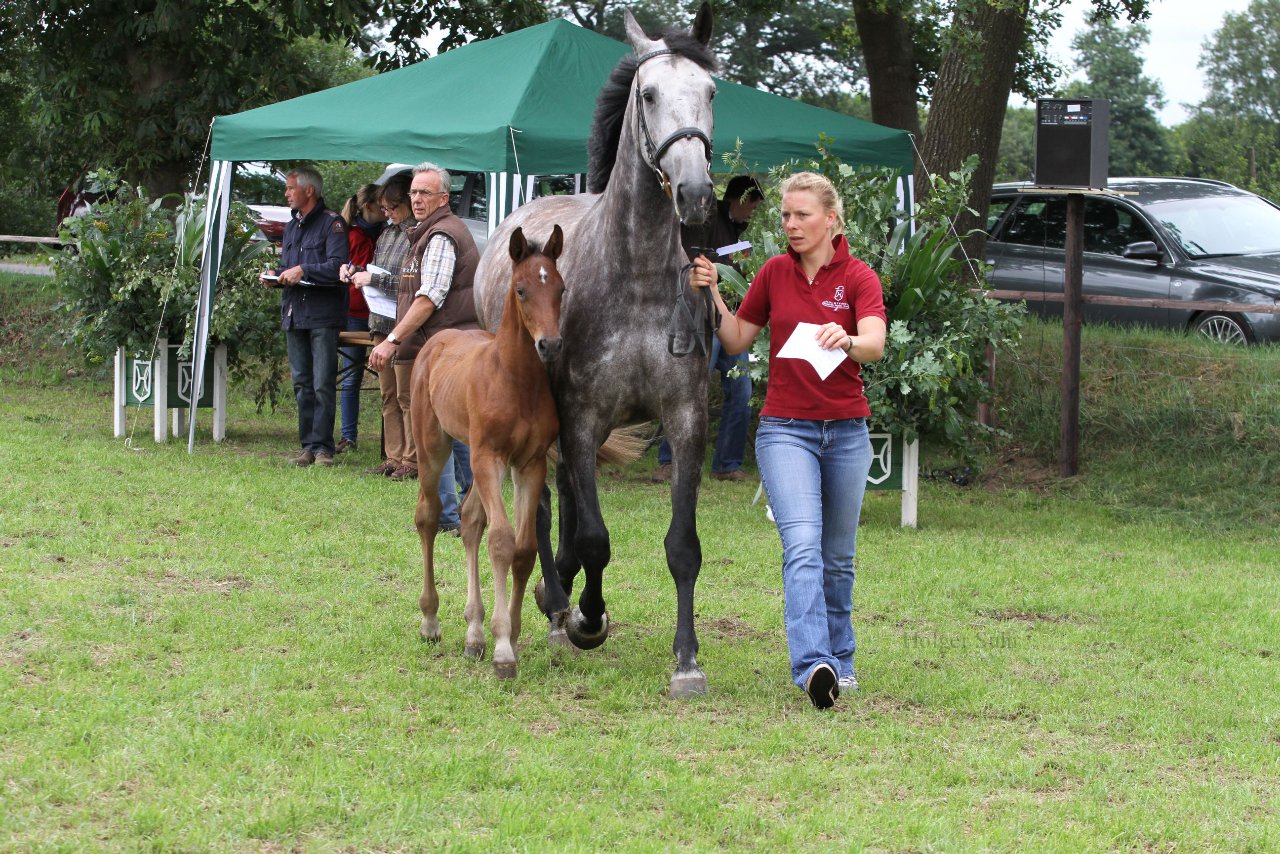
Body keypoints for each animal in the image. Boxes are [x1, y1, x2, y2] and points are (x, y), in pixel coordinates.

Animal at [476, 3, 721, 696]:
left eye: (711, 91)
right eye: (649, 93)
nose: (695, 194)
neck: (633, 276)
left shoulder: (686, 421)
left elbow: (682, 547)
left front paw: (686, 661)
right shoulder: (581, 418)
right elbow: (594, 538)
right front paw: (586, 616)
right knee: (543, 510)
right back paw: (559, 604)